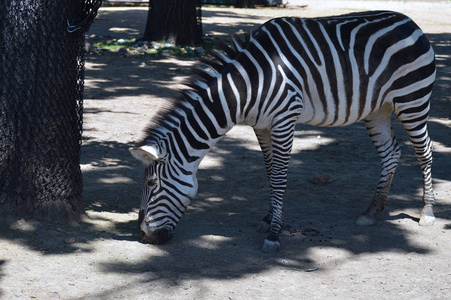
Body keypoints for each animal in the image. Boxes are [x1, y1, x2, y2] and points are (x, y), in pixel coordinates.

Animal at [130, 10, 438, 252]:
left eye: (151, 183)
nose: (144, 235)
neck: (248, 84)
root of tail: (408, 21)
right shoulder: (261, 126)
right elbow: (269, 171)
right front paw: (268, 218)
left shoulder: (284, 120)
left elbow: (279, 177)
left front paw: (274, 233)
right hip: (379, 109)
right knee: (391, 153)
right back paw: (371, 211)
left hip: (413, 101)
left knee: (424, 152)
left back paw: (427, 212)